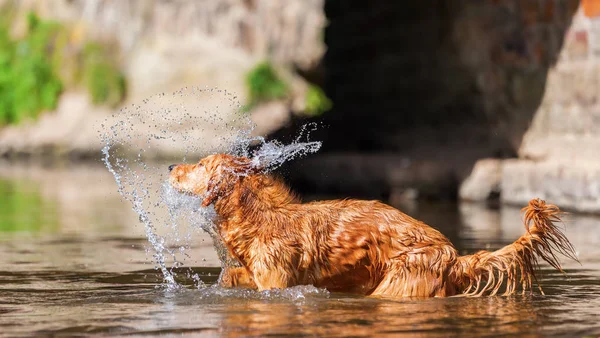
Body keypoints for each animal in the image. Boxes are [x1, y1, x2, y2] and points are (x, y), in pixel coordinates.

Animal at [168, 154, 576, 298]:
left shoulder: (276, 283)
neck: (260, 217)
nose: (171, 166)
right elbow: (233, 275)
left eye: (201, 164)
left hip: (399, 283)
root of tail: (454, 256)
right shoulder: (257, 274)